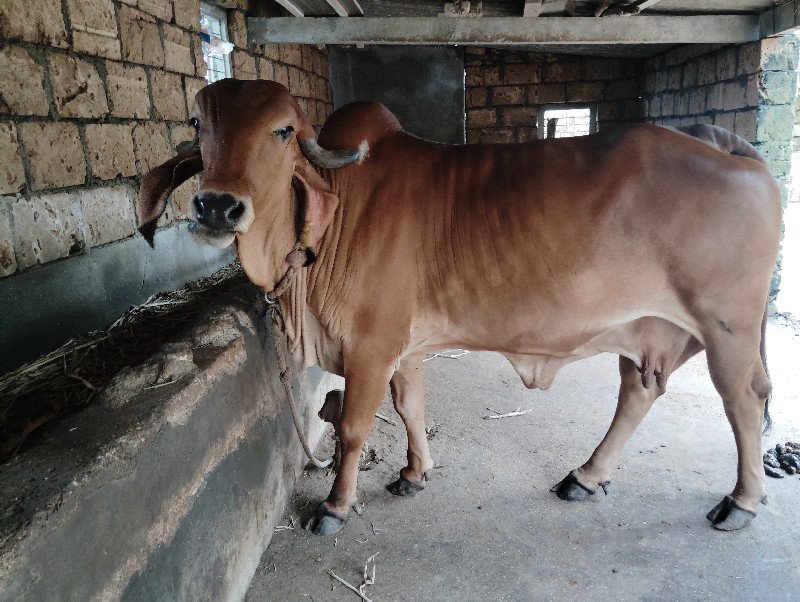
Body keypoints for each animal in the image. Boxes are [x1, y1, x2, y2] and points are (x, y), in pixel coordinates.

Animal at [138, 79, 781, 536]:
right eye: (198, 122)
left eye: (283, 130)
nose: (216, 206)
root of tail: (720, 141)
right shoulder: (403, 344)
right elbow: (411, 407)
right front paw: (414, 473)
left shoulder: (370, 346)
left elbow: (352, 428)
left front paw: (336, 506)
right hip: (644, 327)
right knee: (640, 392)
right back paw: (585, 477)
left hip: (727, 327)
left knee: (745, 401)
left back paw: (741, 502)